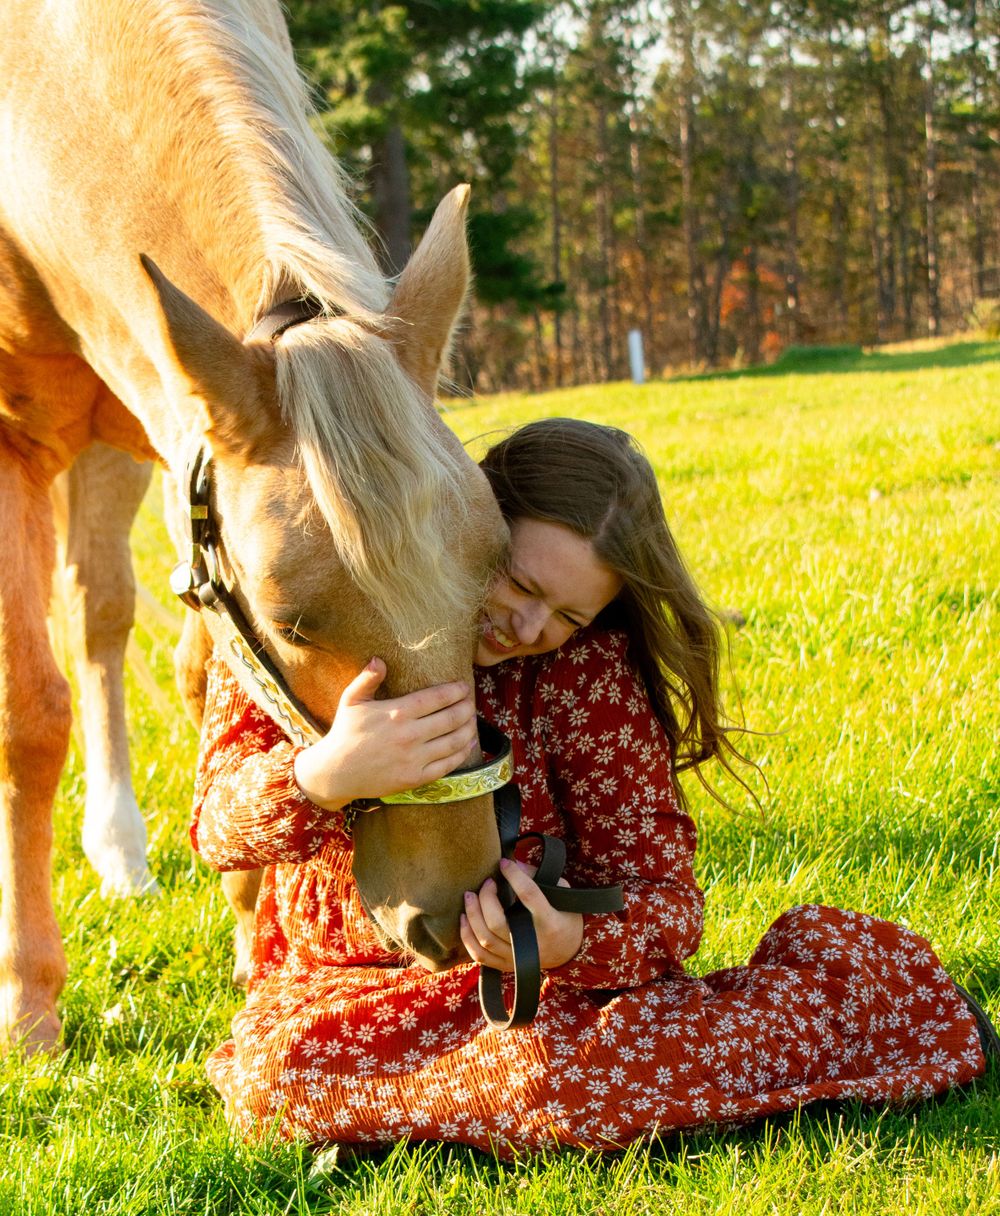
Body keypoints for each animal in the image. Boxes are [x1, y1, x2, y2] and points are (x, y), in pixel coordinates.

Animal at [0, 0, 508, 1054]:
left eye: (491, 584)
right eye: (295, 622)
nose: (453, 910)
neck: (37, 80)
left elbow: (209, 688)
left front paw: (244, 925)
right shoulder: (12, 442)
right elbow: (28, 716)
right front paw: (28, 1001)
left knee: (100, 616)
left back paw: (122, 850)